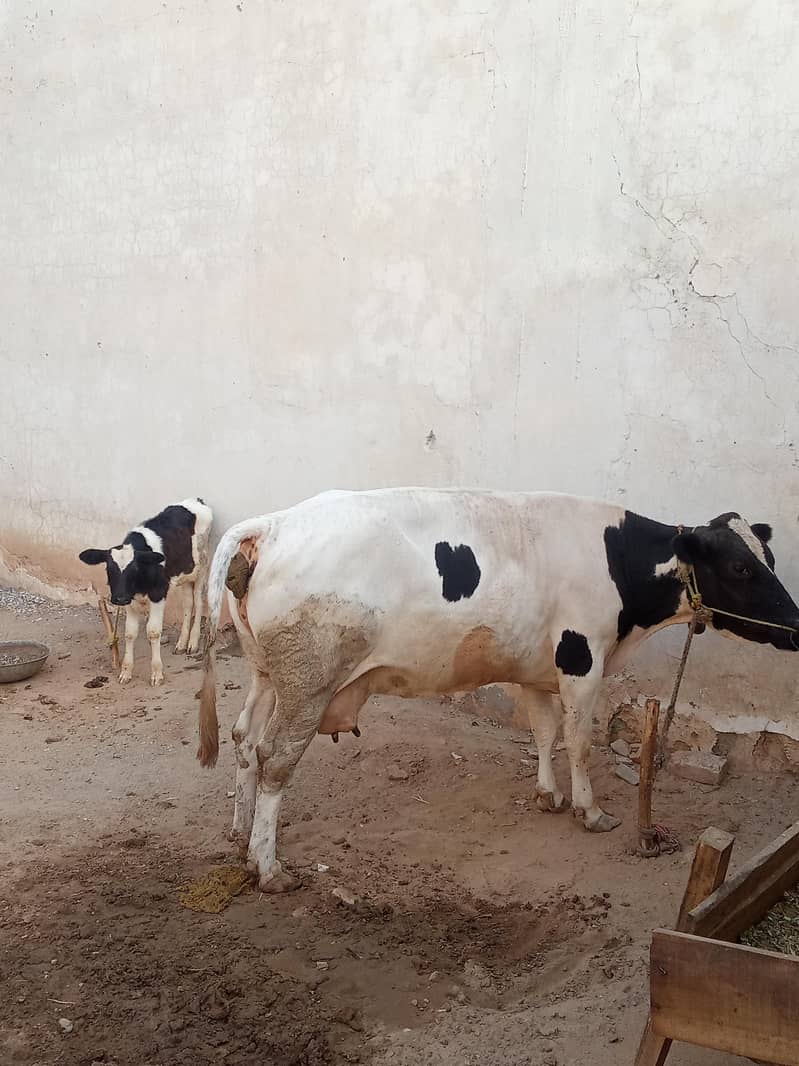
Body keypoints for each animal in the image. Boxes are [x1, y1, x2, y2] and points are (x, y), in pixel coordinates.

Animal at [80, 497, 213, 686]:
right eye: (108, 569)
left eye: (134, 568)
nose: (119, 599)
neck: (139, 584)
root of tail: (196, 500)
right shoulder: (130, 599)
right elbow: (129, 633)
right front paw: (126, 672)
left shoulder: (158, 593)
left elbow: (153, 632)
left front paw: (157, 673)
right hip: (185, 571)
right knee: (188, 603)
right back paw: (182, 643)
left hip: (202, 565)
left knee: (199, 601)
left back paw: (193, 642)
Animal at [195, 489, 799, 892]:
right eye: (741, 567)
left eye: (768, 558)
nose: (796, 625)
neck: (616, 560)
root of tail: (273, 524)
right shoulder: (582, 659)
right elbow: (580, 741)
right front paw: (589, 810)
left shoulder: (537, 667)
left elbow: (545, 732)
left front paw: (549, 795)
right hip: (310, 682)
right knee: (275, 757)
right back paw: (268, 866)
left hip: (268, 674)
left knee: (245, 739)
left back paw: (240, 836)